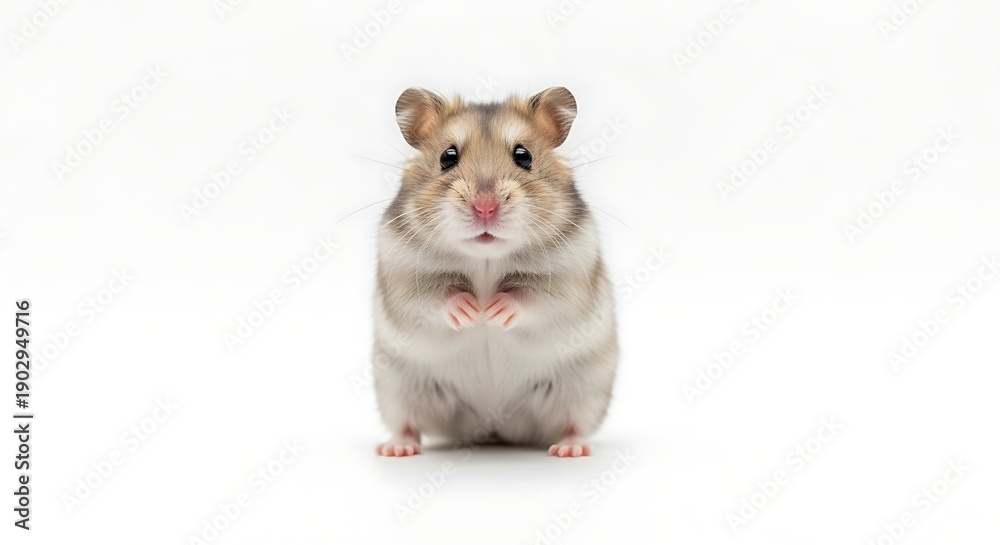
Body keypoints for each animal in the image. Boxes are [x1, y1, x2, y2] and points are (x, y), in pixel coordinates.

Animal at [373, 87, 618, 458]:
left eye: (523, 155)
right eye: (447, 156)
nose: (485, 208)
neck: (485, 258)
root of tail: (492, 424)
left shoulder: (567, 281)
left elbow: (530, 297)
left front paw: (492, 312)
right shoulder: (404, 280)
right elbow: (438, 297)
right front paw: (472, 312)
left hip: (584, 390)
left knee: (574, 423)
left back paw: (570, 450)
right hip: (398, 389)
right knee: (407, 423)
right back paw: (396, 449)